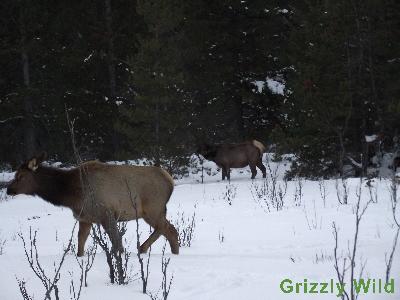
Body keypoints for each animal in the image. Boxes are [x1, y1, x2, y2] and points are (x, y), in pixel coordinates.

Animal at [5, 155, 178, 255]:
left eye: (20, 176)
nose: (8, 189)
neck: (71, 194)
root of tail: (170, 181)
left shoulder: (106, 213)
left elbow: (116, 242)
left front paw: (119, 255)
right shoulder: (85, 218)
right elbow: (81, 240)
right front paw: (80, 256)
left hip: (152, 209)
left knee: (167, 228)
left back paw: (145, 248)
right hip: (155, 211)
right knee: (168, 229)